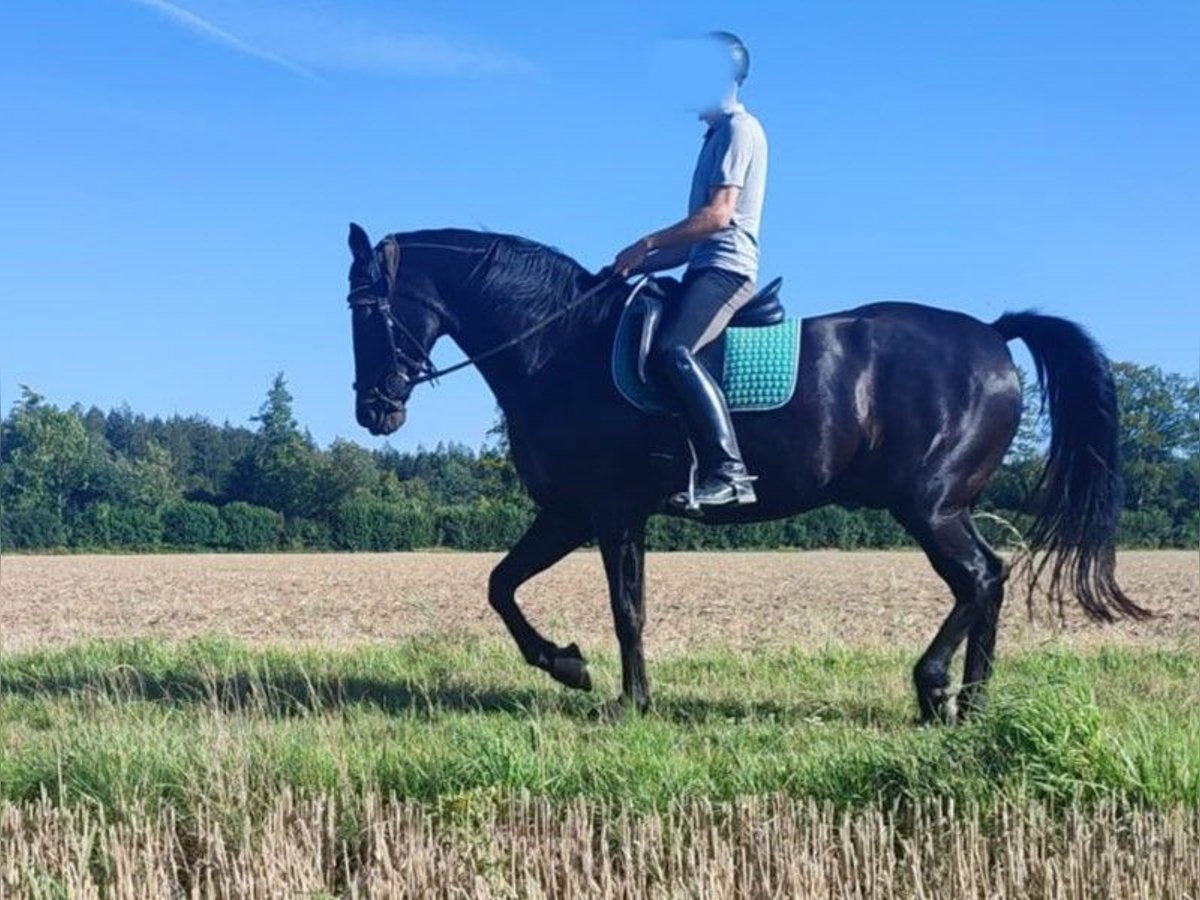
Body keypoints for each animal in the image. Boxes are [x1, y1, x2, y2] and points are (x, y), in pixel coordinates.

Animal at [345, 222, 1142, 724]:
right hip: (945, 508)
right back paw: (971, 704)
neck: (558, 348)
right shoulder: (569, 512)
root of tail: (993, 336)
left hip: (930, 505)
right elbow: (501, 584)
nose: (374, 411)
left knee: (978, 579)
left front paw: (625, 699)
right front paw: (570, 666)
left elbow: (624, 607)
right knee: (989, 579)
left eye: (365, 308)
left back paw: (934, 687)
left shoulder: (608, 511)